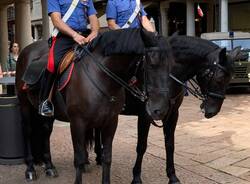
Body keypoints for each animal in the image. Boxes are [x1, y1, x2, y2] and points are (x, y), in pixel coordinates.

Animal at [15, 28, 172, 184]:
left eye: (170, 66)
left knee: (45, 131)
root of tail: (26, 50)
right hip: (25, 105)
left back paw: (49, 166)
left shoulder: (110, 122)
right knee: (27, 131)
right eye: (151, 65)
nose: (160, 110)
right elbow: (78, 159)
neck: (102, 77)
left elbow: (107, 157)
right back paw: (30, 169)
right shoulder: (77, 123)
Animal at [94, 34, 238, 184]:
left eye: (230, 79)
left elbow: (170, 144)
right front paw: (136, 177)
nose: (213, 111)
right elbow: (141, 146)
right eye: (219, 78)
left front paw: (172, 175)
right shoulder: (145, 115)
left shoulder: (173, 114)